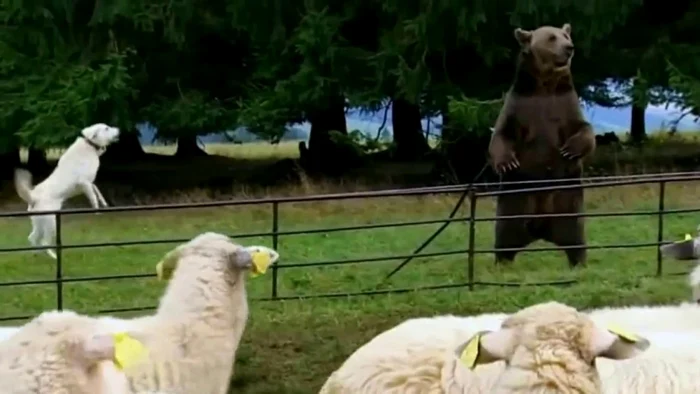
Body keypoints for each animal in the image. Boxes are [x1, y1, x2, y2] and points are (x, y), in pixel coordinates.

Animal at [13, 123, 120, 258]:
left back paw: (37, 254)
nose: (118, 130)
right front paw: (97, 209)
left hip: (39, 223)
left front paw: (104, 202)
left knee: (33, 238)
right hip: (51, 222)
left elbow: (97, 190)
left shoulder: (88, 183)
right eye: (106, 128)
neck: (90, 145)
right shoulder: (84, 182)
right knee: (44, 241)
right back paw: (54, 256)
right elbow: (93, 196)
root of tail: (33, 198)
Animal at [486, 22, 596, 268]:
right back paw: (502, 263)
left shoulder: (565, 105)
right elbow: (502, 134)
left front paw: (570, 149)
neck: (545, 84)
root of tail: (540, 229)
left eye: (566, 35)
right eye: (551, 37)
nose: (569, 48)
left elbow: (584, 129)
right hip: (514, 204)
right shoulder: (520, 105)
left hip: (567, 204)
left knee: (575, 237)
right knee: (505, 237)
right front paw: (506, 163)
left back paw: (579, 263)